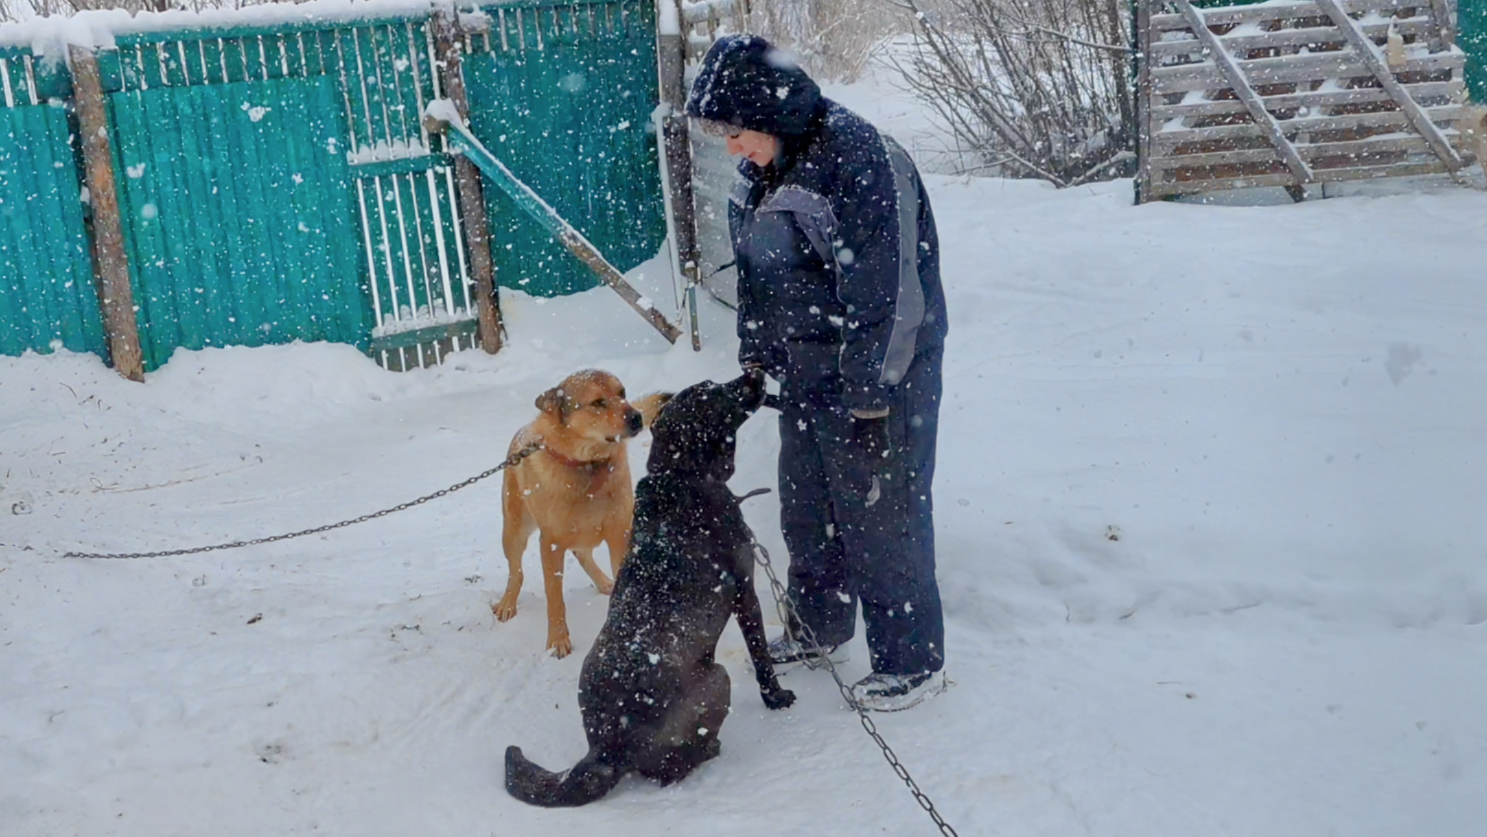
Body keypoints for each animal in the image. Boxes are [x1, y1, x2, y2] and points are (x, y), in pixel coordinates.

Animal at [493, 370, 669, 657]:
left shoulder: (620, 532)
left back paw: (603, 582)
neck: (587, 466)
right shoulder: (551, 543)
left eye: (622, 393)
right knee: (516, 571)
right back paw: (507, 603)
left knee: (582, 552)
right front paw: (557, 641)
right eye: (598, 402)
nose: (636, 417)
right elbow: (555, 598)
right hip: (515, 531)